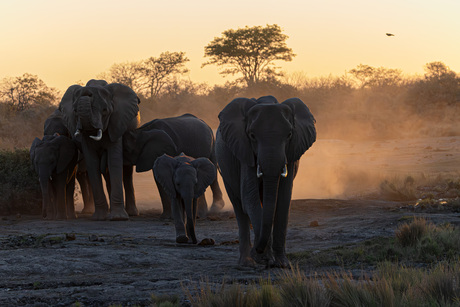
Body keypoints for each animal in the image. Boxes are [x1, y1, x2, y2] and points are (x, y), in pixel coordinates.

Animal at [60, 79, 141, 221]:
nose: (87, 93)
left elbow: (114, 161)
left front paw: (118, 218)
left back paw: (131, 213)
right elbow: (92, 163)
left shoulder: (116, 123)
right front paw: (99, 218)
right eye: (75, 111)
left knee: (126, 172)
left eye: (105, 110)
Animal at [216, 95, 316, 268]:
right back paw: (246, 263)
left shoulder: (291, 153)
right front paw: (263, 259)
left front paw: (282, 264)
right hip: (225, 169)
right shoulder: (244, 152)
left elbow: (283, 200)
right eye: (252, 135)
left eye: (289, 134)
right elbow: (250, 198)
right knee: (239, 207)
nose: (258, 250)